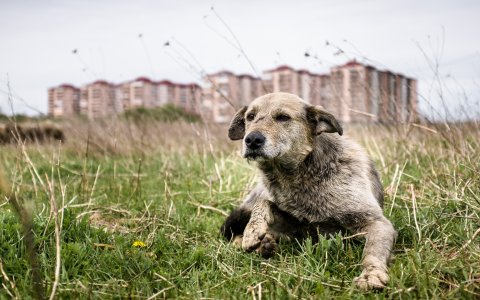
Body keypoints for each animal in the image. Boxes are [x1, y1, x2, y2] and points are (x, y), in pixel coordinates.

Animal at [219, 92, 396, 290]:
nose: (252, 140)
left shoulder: (375, 222)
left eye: (283, 117)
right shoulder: (299, 227)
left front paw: (371, 274)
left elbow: (372, 250)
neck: (301, 174)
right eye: (250, 116)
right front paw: (252, 231)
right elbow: (264, 204)